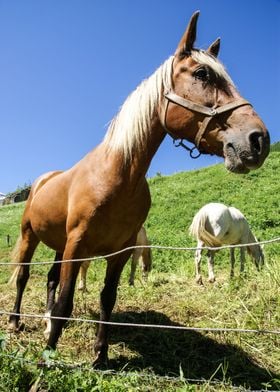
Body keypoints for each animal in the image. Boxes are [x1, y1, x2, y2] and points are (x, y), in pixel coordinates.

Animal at [8, 11, 270, 368]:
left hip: (59, 245)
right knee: (23, 277)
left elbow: (107, 299)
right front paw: (47, 358)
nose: (258, 140)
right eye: (202, 74)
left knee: (49, 278)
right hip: (29, 236)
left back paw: (47, 323)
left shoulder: (119, 251)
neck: (118, 176)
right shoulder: (77, 245)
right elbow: (66, 302)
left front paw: (101, 356)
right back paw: (16, 322)